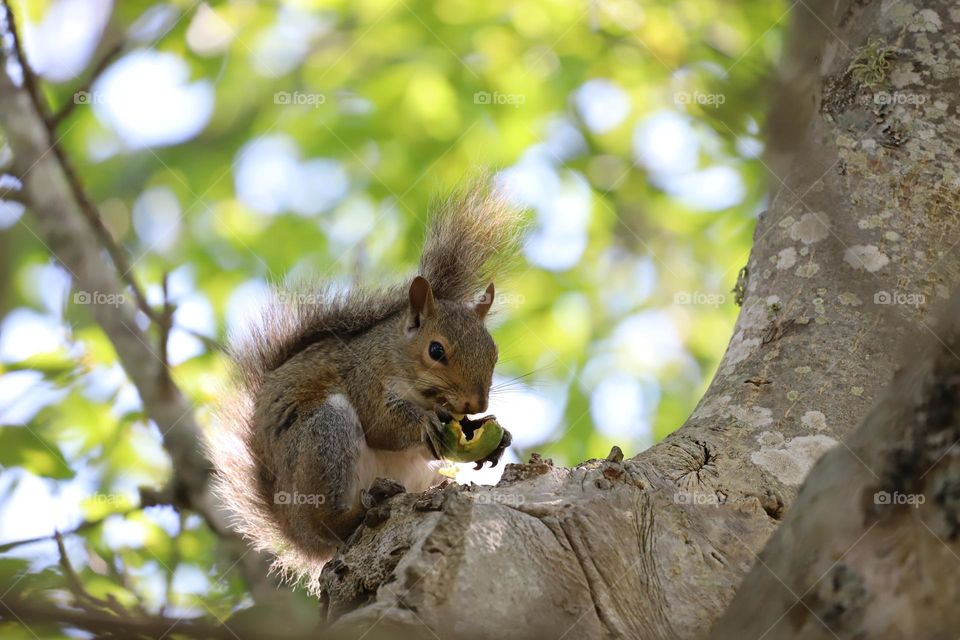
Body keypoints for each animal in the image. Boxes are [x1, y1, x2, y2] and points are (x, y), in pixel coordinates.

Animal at [211, 180, 524, 592]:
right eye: (436, 350)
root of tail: (295, 532)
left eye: (494, 351)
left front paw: (494, 436)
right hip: (324, 439)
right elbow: (381, 425)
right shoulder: (363, 379)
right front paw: (422, 425)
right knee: (333, 523)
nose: (476, 404)